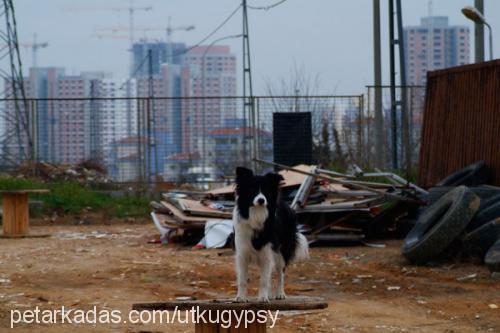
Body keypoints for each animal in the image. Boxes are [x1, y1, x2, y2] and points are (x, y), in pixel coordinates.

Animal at [234, 166, 308, 300]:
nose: (261, 200)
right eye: (252, 189)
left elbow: (264, 279)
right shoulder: (242, 253)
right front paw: (241, 297)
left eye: (266, 190)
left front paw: (263, 297)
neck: (257, 214)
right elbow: (242, 279)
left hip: (282, 251)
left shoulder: (268, 253)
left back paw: (280, 293)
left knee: (280, 273)